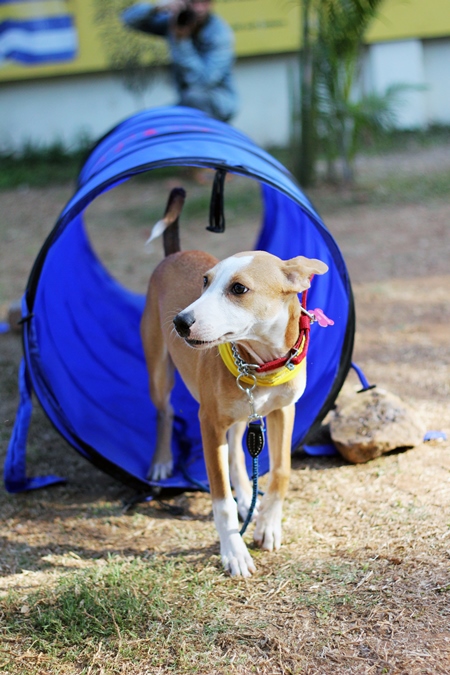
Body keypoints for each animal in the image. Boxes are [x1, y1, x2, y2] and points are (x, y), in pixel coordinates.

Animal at [141, 189, 326, 576]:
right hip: (159, 372)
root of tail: (174, 253)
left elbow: (281, 471)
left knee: (240, 450)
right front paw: (234, 551)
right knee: (165, 412)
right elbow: (220, 498)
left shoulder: (283, 411)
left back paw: (246, 497)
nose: (180, 322)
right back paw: (163, 461)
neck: (261, 363)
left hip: (244, 413)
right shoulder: (208, 423)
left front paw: (267, 525)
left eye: (239, 288)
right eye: (205, 282)